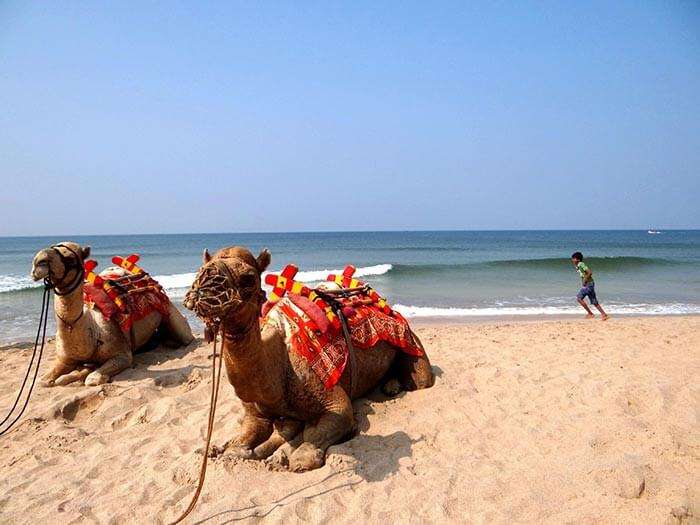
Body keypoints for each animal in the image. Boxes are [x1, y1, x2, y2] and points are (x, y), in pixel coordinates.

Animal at [30, 242, 194, 384]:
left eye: (70, 257)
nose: (38, 262)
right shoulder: (65, 359)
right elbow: (44, 381)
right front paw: (66, 376)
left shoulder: (122, 354)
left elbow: (92, 378)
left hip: (169, 310)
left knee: (185, 336)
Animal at [182, 246, 432, 470]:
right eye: (200, 269)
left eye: (248, 278)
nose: (206, 285)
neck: (278, 363)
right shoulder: (256, 413)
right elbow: (248, 434)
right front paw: (230, 449)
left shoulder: (333, 400)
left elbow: (318, 429)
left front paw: (297, 457)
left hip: (411, 343)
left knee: (420, 379)